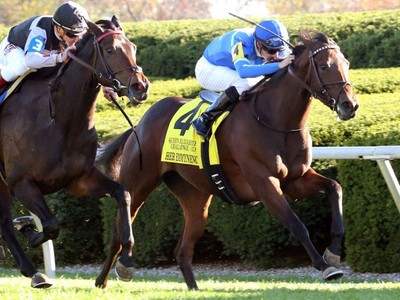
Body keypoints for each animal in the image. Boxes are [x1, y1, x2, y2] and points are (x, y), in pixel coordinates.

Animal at [0, 16, 149, 288]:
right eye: (110, 50)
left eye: (132, 47)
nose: (140, 86)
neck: (58, 121)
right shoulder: (21, 183)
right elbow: (51, 225)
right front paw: (29, 229)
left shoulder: (79, 179)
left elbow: (123, 194)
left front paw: (127, 260)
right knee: (5, 222)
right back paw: (33, 269)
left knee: (4, 223)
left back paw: (34, 271)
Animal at [94, 29, 360, 288]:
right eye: (324, 66)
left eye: (346, 63)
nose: (350, 105)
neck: (276, 120)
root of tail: (140, 124)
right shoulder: (264, 183)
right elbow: (297, 225)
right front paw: (325, 267)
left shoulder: (295, 180)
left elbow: (335, 188)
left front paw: (333, 252)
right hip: (139, 183)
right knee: (118, 231)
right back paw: (113, 273)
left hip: (195, 197)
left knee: (182, 250)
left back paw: (193, 289)